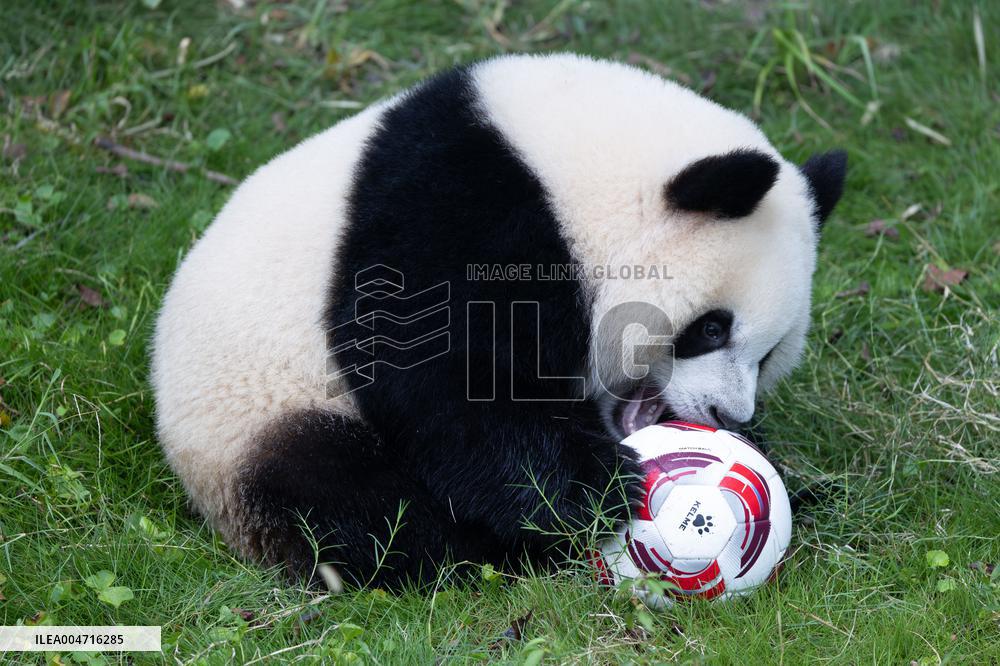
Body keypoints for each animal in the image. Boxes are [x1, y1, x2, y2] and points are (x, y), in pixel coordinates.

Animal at [152, 53, 846, 589]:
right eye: (710, 328)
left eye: (769, 355)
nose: (731, 417)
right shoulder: (457, 208)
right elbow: (440, 372)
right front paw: (595, 493)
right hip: (254, 414)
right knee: (347, 497)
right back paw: (483, 553)